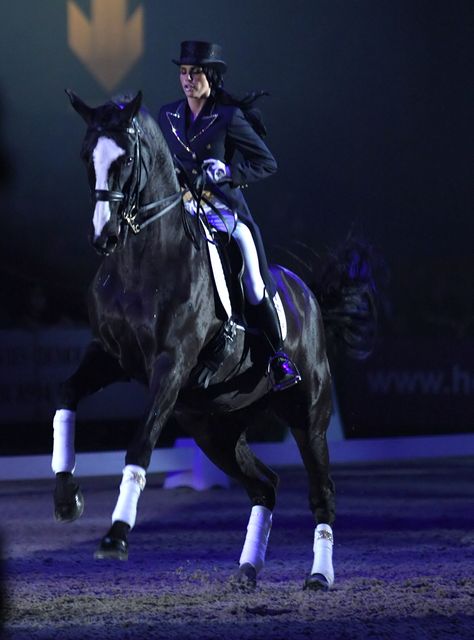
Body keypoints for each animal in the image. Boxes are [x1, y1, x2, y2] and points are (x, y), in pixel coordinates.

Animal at [52, 90, 378, 592]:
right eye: (88, 156)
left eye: (125, 159)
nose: (104, 236)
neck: (139, 262)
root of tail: (306, 294)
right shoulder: (108, 355)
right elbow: (66, 395)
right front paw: (67, 498)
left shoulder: (171, 364)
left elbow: (140, 443)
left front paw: (115, 537)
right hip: (213, 427)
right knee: (265, 485)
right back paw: (247, 569)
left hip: (308, 418)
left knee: (321, 492)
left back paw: (319, 576)